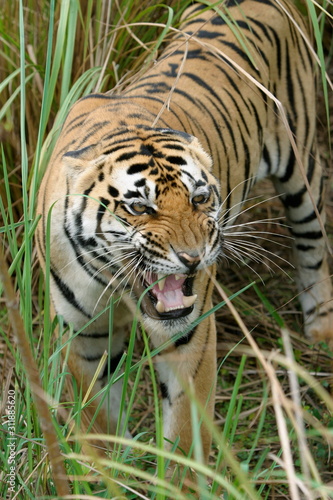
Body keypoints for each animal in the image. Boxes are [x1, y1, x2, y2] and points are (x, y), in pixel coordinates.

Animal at [36, 0, 332, 468]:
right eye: (139, 207)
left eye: (200, 197)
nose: (193, 257)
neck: (113, 282)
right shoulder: (83, 332)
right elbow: (96, 420)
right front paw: (105, 471)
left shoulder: (189, 336)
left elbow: (185, 436)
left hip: (301, 166)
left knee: (313, 245)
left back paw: (321, 333)